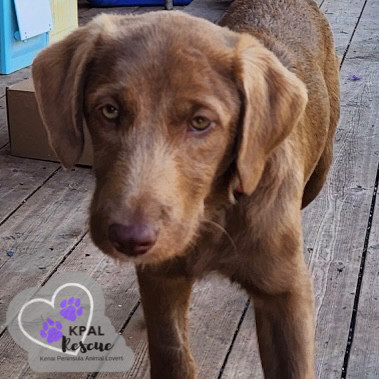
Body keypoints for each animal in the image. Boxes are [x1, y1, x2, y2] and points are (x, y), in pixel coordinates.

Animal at [33, 1, 342, 378]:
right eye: (109, 110)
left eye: (200, 122)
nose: (129, 240)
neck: (213, 210)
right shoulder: (162, 278)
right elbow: (172, 352)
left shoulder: (286, 293)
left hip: (321, 168)